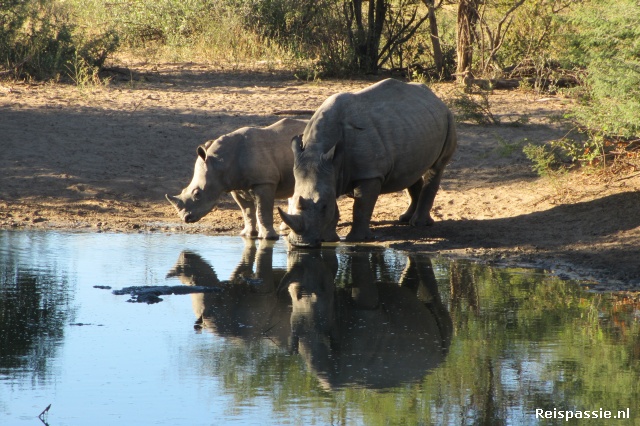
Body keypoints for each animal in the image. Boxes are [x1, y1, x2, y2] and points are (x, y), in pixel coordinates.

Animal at [166, 118, 308, 239]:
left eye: (197, 193)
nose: (185, 218)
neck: (220, 162)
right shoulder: (235, 185)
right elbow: (247, 211)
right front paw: (247, 235)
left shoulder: (265, 182)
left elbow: (262, 210)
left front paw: (268, 237)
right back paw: (285, 227)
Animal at [278, 78, 457, 247]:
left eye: (323, 206)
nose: (300, 243)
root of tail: (435, 97)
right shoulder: (330, 170)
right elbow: (335, 207)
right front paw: (328, 239)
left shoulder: (369, 174)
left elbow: (361, 206)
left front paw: (357, 239)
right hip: (415, 124)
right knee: (411, 171)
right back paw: (405, 219)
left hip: (448, 118)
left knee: (437, 167)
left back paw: (418, 224)